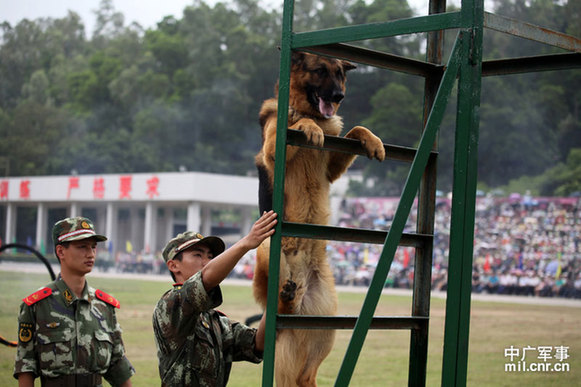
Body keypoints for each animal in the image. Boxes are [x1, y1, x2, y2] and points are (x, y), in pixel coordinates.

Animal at [251, 52, 382, 387]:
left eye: (340, 74)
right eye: (319, 70)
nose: (339, 96)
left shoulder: (334, 166)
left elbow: (355, 130)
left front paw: (373, 141)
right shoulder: (273, 148)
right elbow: (301, 126)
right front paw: (309, 127)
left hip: (325, 325)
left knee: (306, 374)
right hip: (266, 248)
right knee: (276, 303)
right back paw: (286, 297)